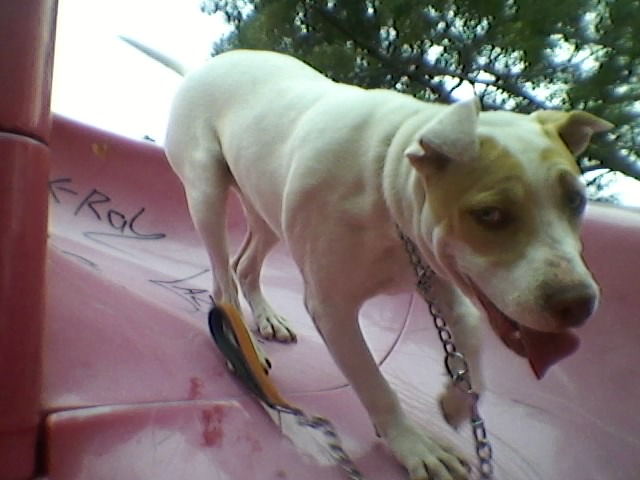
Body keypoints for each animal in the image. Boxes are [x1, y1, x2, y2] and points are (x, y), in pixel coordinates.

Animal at [124, 41, 608, 480]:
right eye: (490, 214)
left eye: (576, 200)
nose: (578, 304)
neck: (386, 182)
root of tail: (202, 68)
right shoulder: (333, 308)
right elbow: (374, 382)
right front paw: (414, 447)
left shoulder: (437, 275)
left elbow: (469, 330)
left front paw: (457, 400)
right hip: (206, 190)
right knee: (222, 277)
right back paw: (243, 344)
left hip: (267, 208)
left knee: (246, 264)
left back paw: (266, 319)